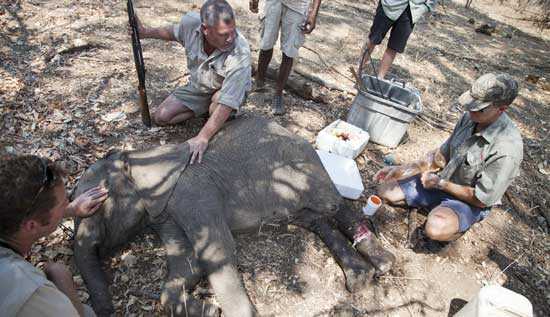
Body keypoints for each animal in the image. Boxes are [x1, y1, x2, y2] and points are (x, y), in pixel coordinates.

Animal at [73, 116, 394, 316]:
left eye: (97, 203)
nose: (106, 309)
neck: (139, 157)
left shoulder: (192, 193)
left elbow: (217, 251)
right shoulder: (164, 214)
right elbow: (189, 265)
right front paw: (210, 310)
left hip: (304, 167)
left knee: (332, 204)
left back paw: (381, 262)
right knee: (315, 219)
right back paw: (360, 277)